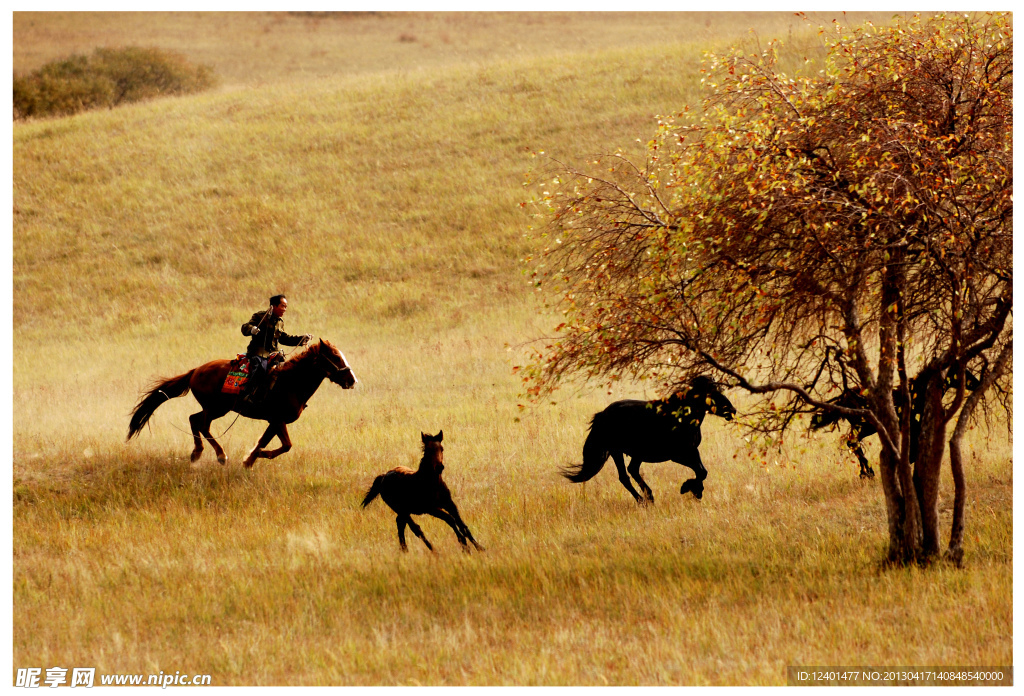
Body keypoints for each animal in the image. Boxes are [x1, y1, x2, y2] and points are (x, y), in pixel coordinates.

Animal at [128, 337, 356, 466]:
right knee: (201, 424)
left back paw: (197, 453)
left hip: (216, 408)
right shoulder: (278, 419)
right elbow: (286, 445)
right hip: (217, 408)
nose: (352, 380)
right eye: (335, 357)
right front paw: (257, 456)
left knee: (194, 420)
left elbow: (268, 441)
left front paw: (250, 460)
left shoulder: (274, 421)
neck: (291, 382)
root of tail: (196, 370)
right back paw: (220, 456)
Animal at [561, 378, 737, 503]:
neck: (682, 417)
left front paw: (696, 491)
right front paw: (687, 487)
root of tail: (603, 414)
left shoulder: (693, 451)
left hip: (633, 454)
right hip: (618, 451)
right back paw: (644, 500)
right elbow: (700, 472)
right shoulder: (678, 455)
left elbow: (702, 471)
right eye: (711, 393)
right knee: (625, 476)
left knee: (631, 471)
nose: (732, 410)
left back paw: (648, 497)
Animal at [806, 370, 983, 479]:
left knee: (852, 442)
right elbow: (913, 451)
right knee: (852, 441)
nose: (977, 382)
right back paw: (868, 472)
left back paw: (866, 472)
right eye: (962, 372)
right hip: (866, 426)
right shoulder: (914, 427)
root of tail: (845, 396)